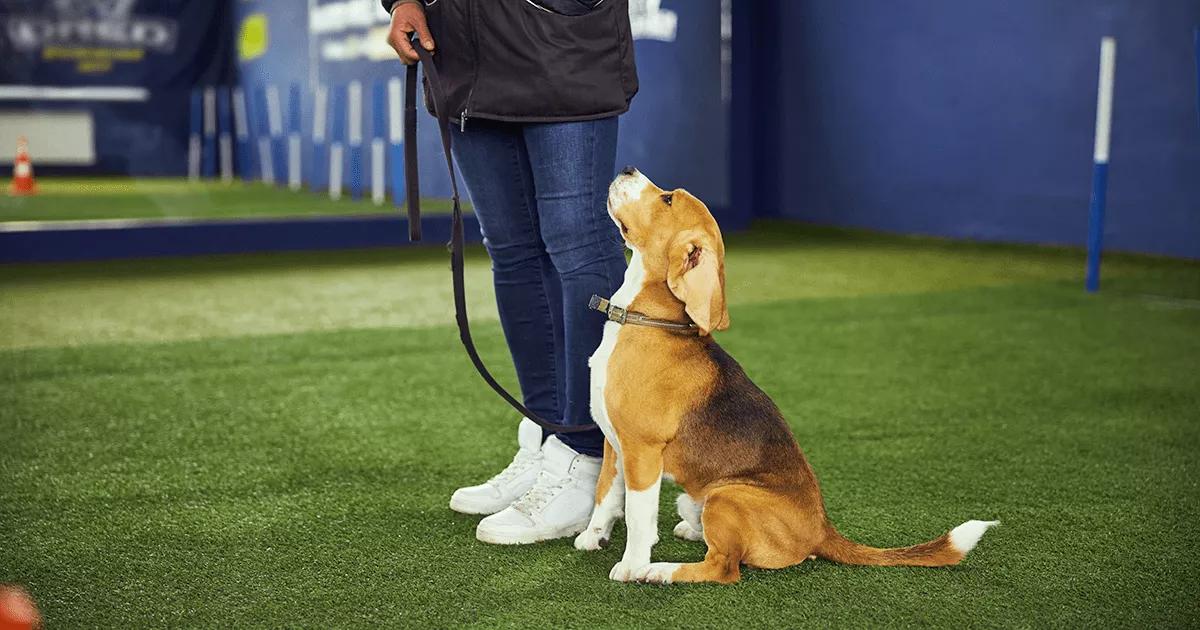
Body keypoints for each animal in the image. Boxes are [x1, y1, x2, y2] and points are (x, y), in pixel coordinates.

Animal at [571, 168, 993, 585]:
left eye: (667, 199)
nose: (627, 169)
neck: (645, 318)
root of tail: (822, 528)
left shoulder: (641, 451)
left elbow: (639, 516)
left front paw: (631, 564)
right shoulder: (614, 445)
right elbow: (604, 494)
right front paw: (593, 536)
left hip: (726, 496)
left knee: (724, 568)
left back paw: (660, 570)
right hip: (695, 497)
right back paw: (689, 531)